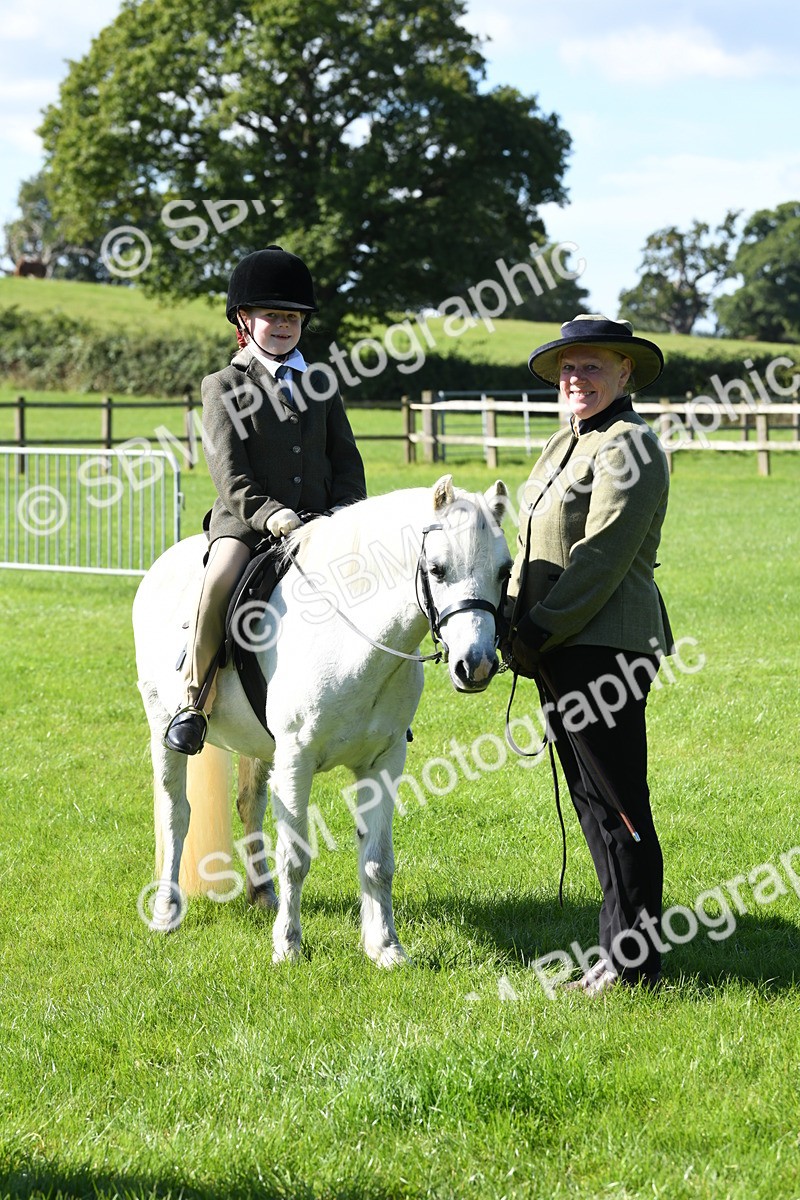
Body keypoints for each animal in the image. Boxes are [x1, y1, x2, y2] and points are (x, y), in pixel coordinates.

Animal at [132, 473, 512, 966]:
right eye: (438, 569)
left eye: (504, 571)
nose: (477, 665)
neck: (351, 639)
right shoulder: (297, 759)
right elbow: (294, 857)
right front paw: (288, 945)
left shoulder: (383, 762)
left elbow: (377, 860)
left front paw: (385, 947)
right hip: (163, 724)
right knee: (176, 814)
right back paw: (166, 911)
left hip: (260, 747)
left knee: (249, 805)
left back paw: (262, 896)